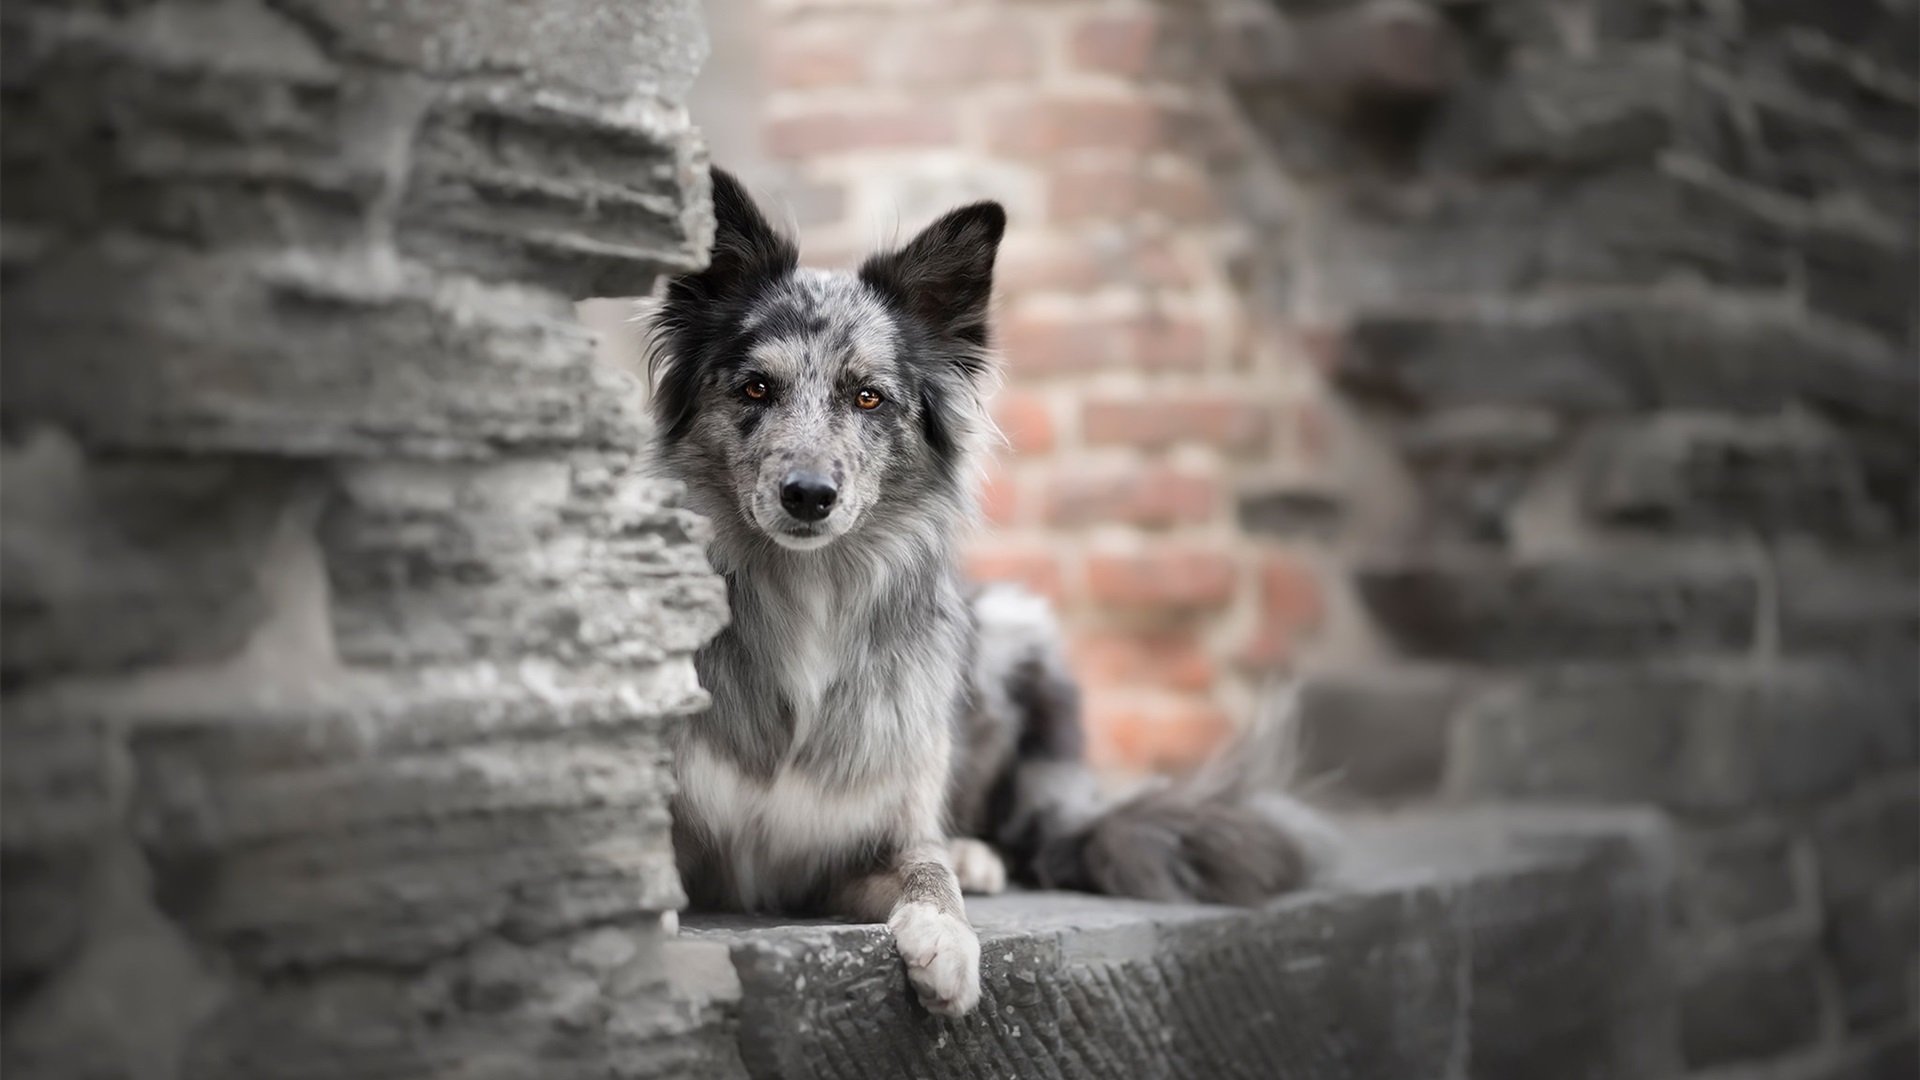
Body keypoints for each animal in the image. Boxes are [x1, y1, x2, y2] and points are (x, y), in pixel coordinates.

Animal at [648, 166, 1336, 1006]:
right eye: (754, 389)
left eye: (868, 396)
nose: (809, 495)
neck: (808, 591)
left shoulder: (865, 841)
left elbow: (928, 868)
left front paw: (948, 937)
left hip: (1015, 627)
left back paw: (979, 855)